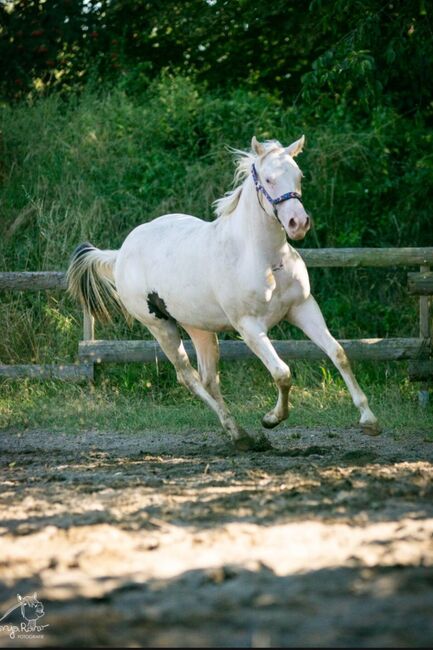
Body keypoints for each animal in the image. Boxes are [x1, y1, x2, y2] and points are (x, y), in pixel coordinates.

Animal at [67, 135, 378, 450]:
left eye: (299, 176)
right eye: (268, 179)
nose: (298, 223)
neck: (265, 259)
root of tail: (120, 253)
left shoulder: (302, 307)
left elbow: (338, 353)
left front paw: (369, 419)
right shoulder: (249, 327)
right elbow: (282, 373)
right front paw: (271, 419)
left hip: (199, 328)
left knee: (208, 379)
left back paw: (238, 433)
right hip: (161, 327)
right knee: (188, 377)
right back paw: (238, 433)